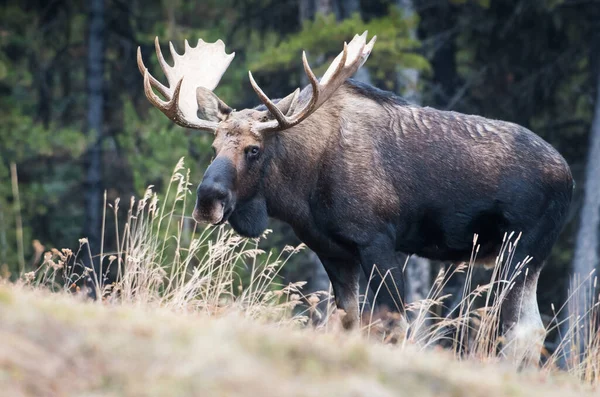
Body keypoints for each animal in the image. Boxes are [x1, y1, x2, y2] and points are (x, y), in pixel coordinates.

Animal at [136, 32, 572, 364]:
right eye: (213, 147)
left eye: (253, 149)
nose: (207, 199)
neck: (301, 190)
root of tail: (568, 177)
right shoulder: (333, 251)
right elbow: (347, 323)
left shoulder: (378, 242)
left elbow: (391, 326)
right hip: (515, 258)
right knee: (528, 330)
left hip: (521, 250)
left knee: (521, 331)